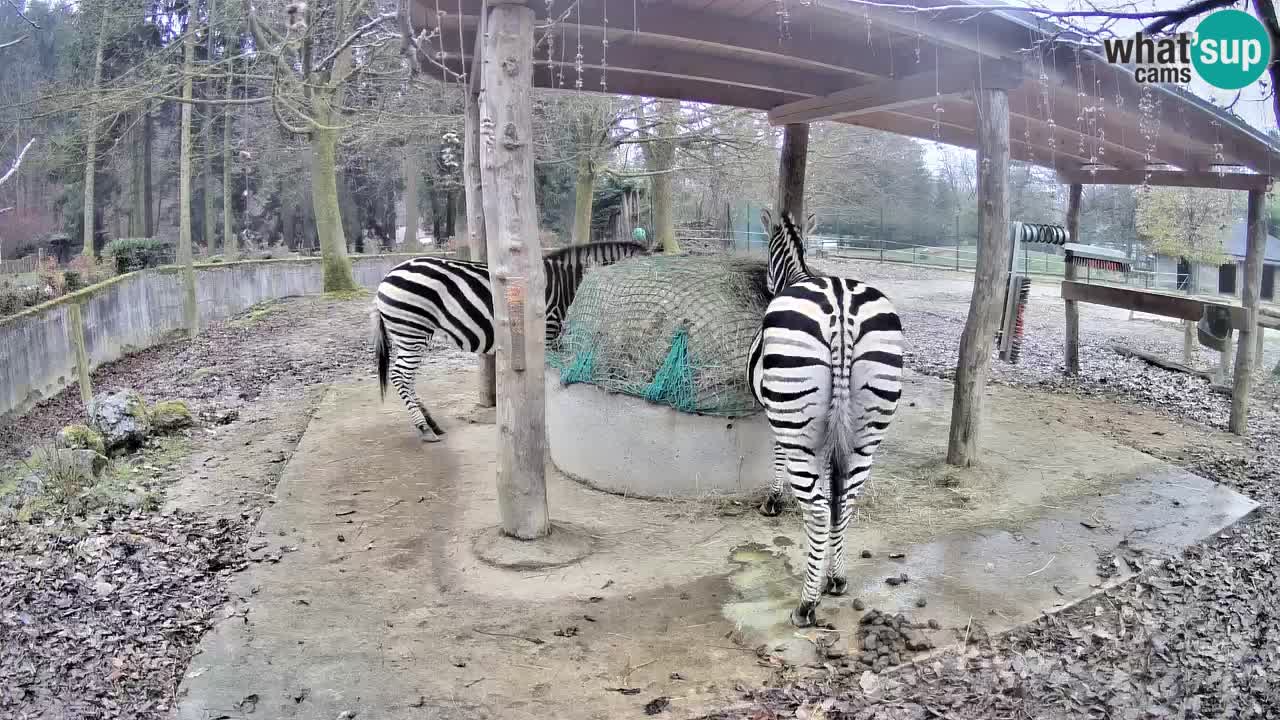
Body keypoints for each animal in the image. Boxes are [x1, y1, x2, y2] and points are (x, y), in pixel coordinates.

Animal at [371, 242, 650, 438]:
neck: (568, 286)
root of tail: (385, 278)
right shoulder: (549, 332)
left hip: (413, 333)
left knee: (406, 377)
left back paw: (430, 422)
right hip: (412, 330)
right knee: (400, 376)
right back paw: (423, 428)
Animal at [747, 207, 906, 622]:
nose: (766, 286)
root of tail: (841, 305)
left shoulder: (777, 415)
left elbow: (778, 457)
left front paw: (773, 501)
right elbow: (833, 486)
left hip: (796, 419)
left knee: (819, 509)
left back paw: (806, 603)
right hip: (869, 426)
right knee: (846, 500)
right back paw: (836, 578)